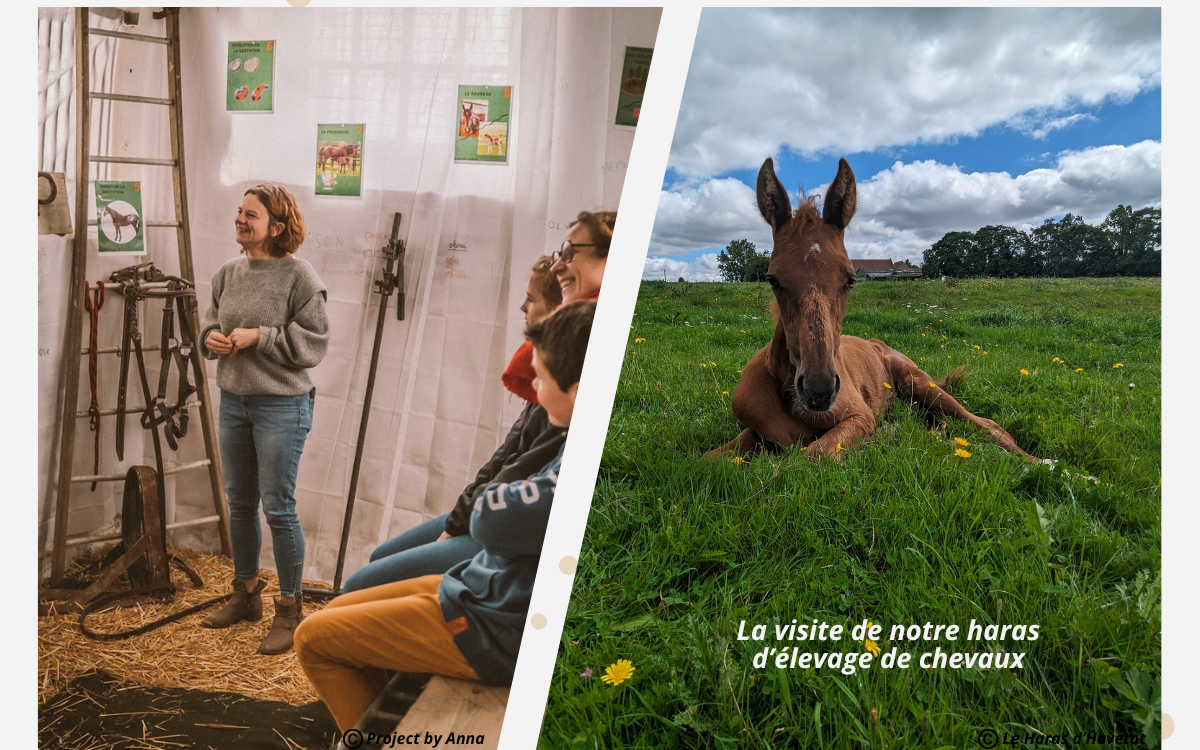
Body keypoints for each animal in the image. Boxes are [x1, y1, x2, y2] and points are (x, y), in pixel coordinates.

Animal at [705, 158, 1036, 463]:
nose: (818, 390)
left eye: (850, 279)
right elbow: (709, 460)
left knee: (988, 425)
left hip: (921, 382)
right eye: (772, 280)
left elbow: (808, 457)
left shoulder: (858, 418)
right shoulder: (755, 432)